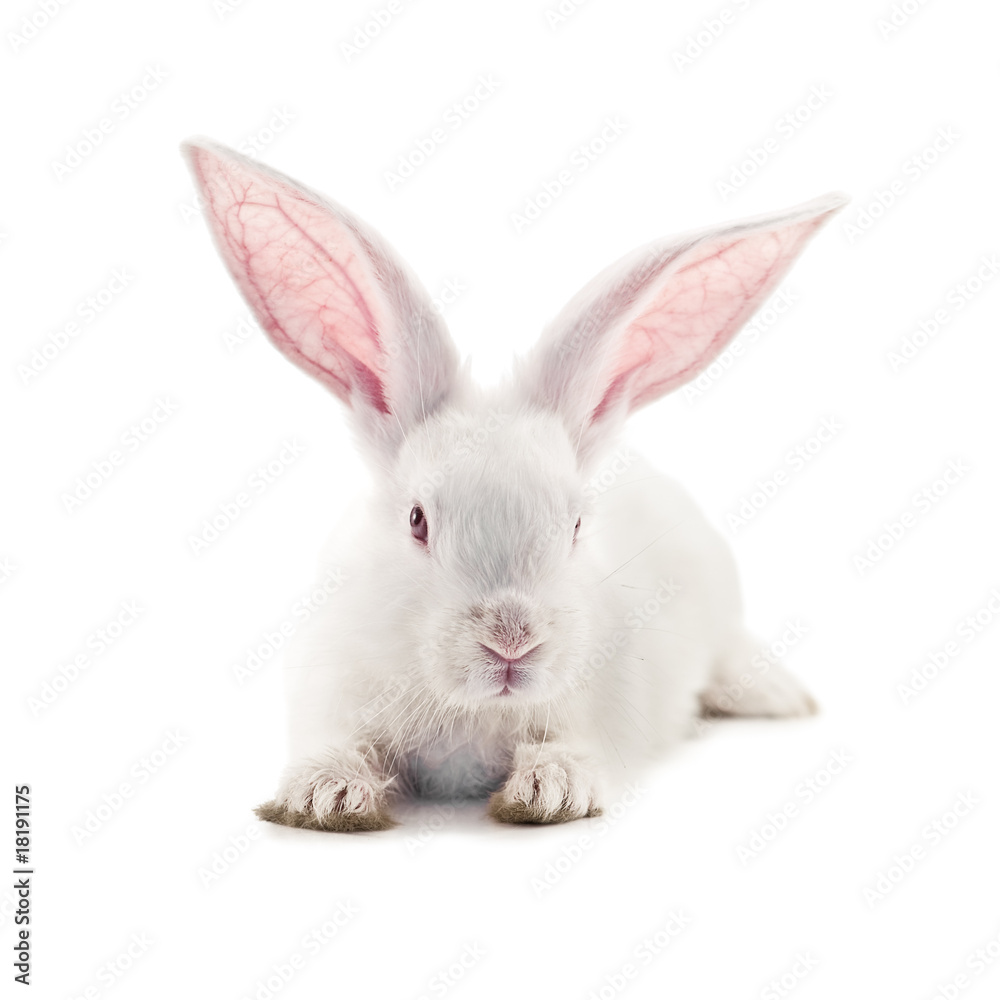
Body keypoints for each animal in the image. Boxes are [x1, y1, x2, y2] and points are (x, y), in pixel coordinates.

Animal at [183, 137, 845, 831]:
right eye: (416, 520)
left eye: (576, 525)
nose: (511, 642)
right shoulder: (330, 687)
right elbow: (336, 743)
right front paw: (325, 796)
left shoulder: (598, 718)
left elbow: (570, 749)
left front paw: (549, 790)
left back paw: (778, 696)